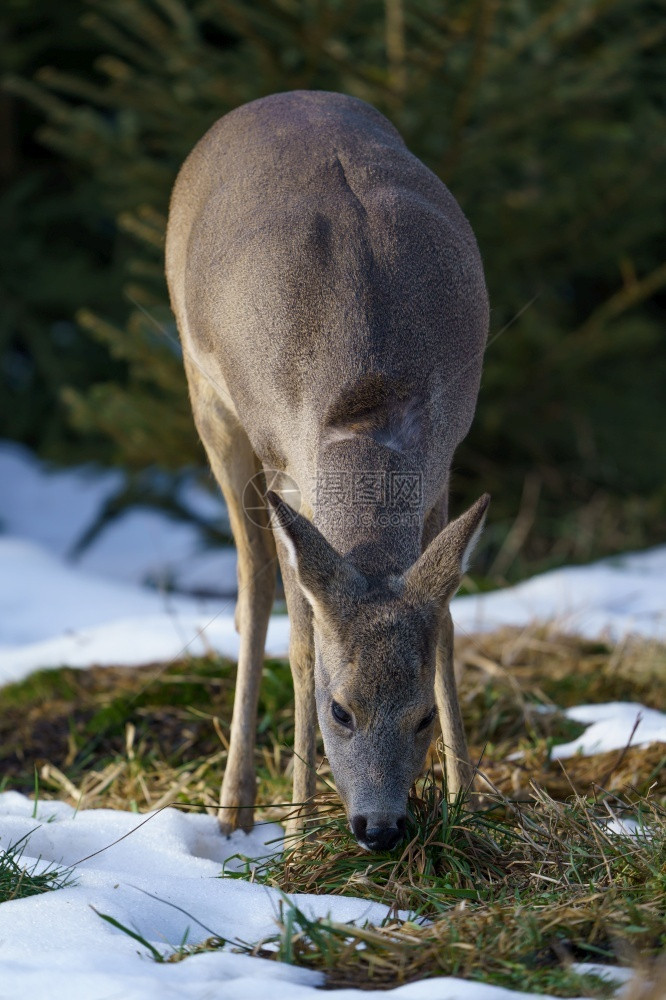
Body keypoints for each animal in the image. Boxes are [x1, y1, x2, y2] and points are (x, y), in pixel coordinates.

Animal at [166, 90, 488, 852]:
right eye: (339, 711)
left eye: (421, 717)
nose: (380, 828)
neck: (367, 402)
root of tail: (279, 97)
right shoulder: (286, 471)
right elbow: (305, 644)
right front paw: (299, 834)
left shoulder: (443, 463)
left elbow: (446, 629)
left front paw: (467, 803)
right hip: (208, 398)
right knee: (252, 587)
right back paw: (236, 805)